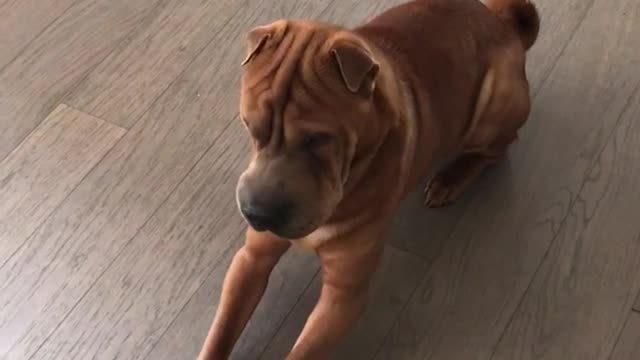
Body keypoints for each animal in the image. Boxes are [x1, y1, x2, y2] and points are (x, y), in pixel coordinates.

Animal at [199, 0, 540, 358]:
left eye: (317, 139)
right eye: (249, 125)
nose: (258, 214)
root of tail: (501, 23)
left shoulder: (343, 296)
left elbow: (303, 350)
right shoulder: (251, 260)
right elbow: (220, 331)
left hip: (493, 107)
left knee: (497, 149)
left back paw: (450, 178)